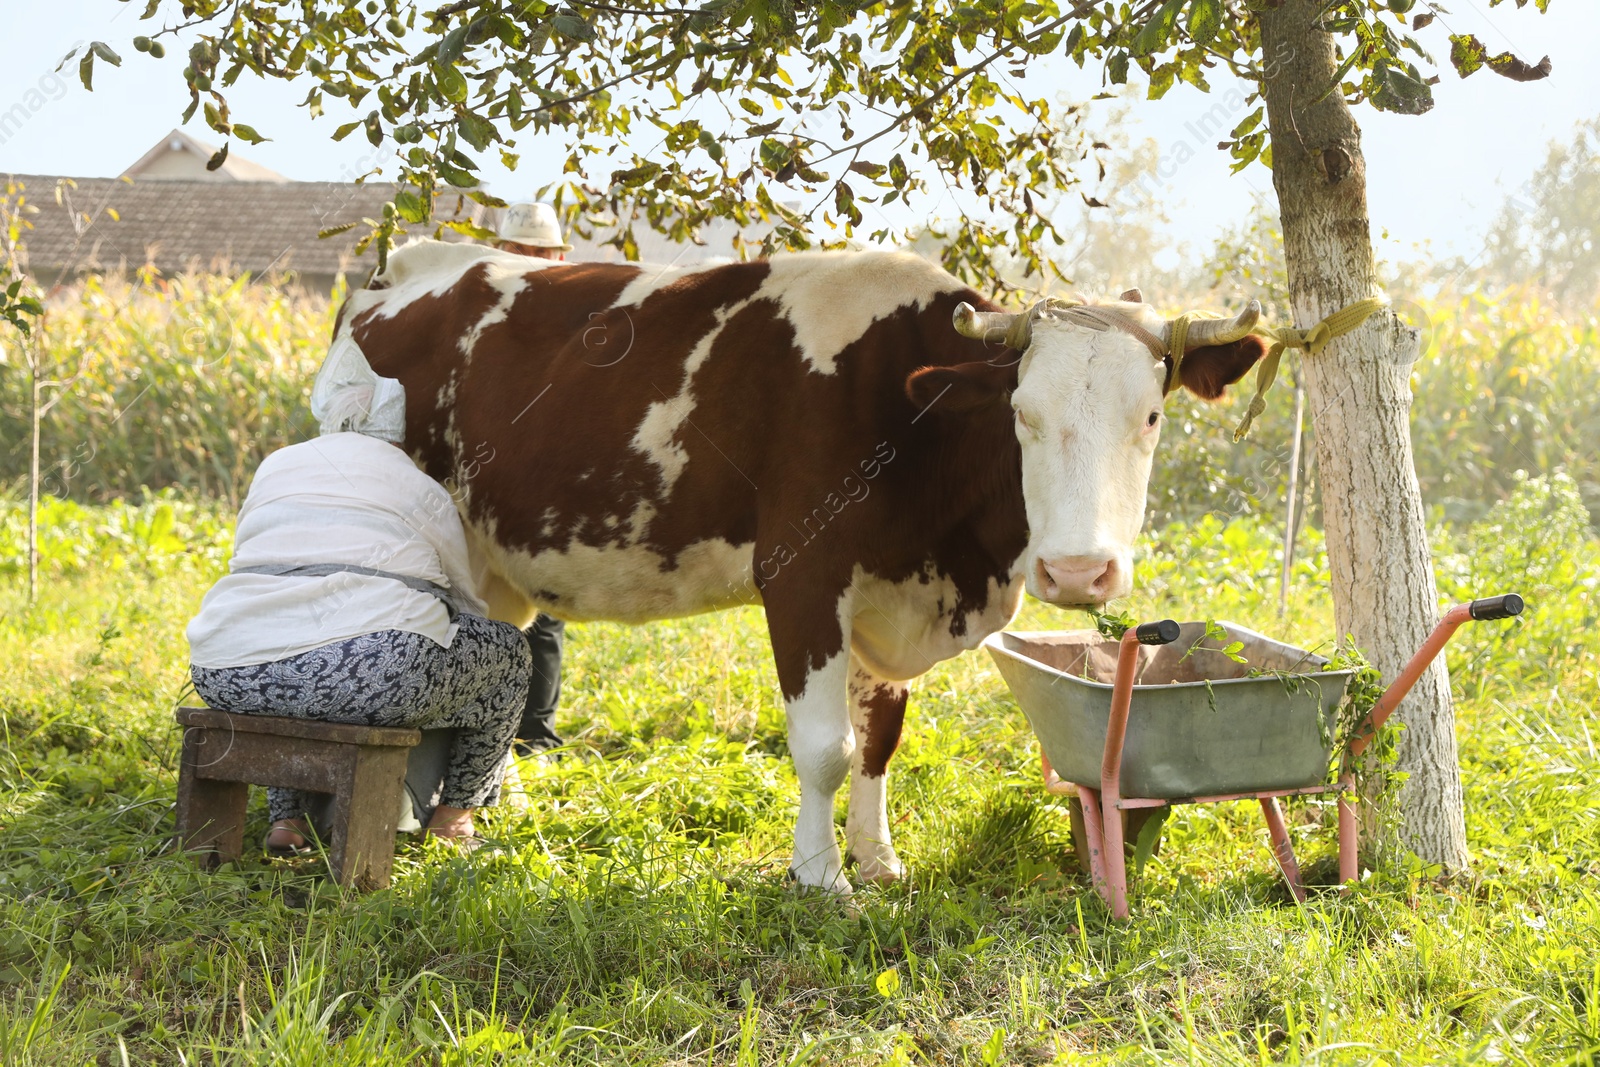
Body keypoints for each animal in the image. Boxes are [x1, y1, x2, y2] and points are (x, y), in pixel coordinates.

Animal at [337, 239, 1260, 895]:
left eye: (1151, 416)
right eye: (1021, 414)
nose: (1077, 572)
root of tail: (402, 262)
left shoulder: (890, 596)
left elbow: (881, 738)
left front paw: (877, 860)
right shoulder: (803, 575)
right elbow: (825, 747)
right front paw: (819, 878)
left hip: (498, 563)